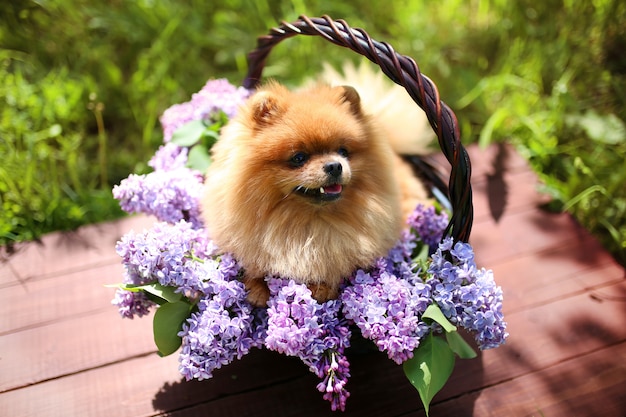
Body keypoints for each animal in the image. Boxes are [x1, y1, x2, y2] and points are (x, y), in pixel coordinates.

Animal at [199, 65, 428, 306]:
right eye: (299, 157)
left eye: (343, 151)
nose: (335, 166)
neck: (309, 223)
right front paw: (257, 289)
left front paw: (321, 289)